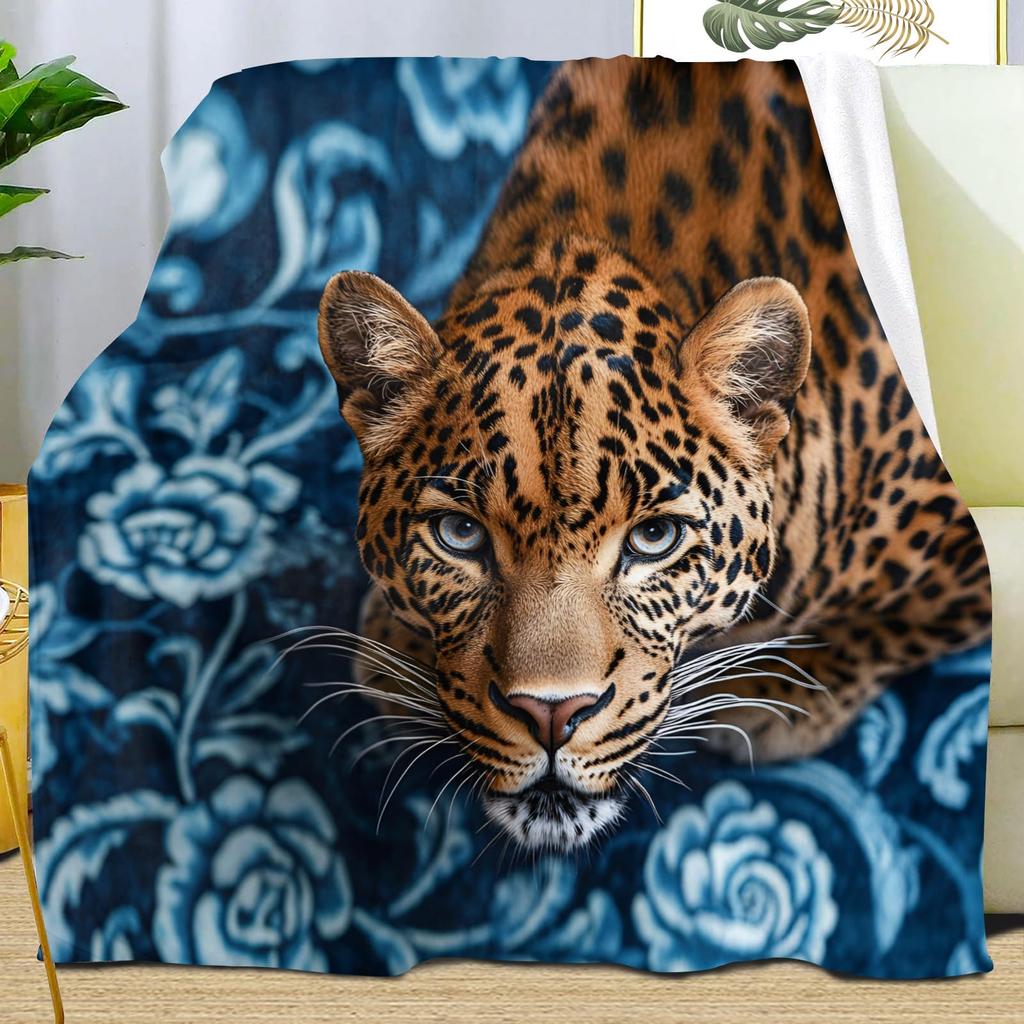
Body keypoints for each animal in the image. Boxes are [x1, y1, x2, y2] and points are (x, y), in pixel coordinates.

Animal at [316, 57, 991, 853]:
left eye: (655, 538)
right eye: (459, 535)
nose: (551, 714)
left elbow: (898, 625)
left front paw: (781, 692)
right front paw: (399, 654)